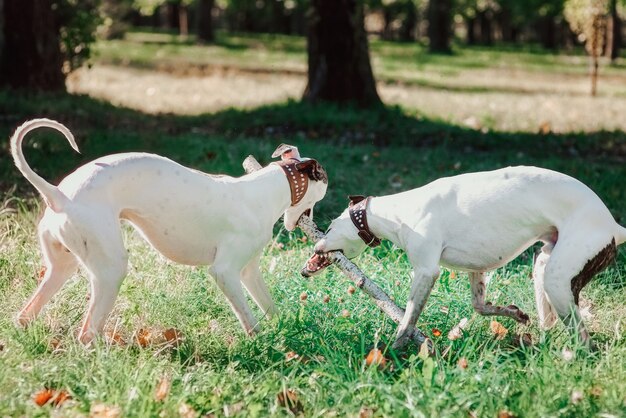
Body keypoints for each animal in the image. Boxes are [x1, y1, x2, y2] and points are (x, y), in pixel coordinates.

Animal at [11, 119, 326, 344]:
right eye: (323, 184)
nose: (320, 226)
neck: (263, 191)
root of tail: (58, 196)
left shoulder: (248, 272)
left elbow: (270, 307)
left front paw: (287, 330)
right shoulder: (224, 272)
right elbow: (248, 317)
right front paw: (265, 344)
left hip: (61, 267)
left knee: (26, 314)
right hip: (110, 270)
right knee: (87, 332)